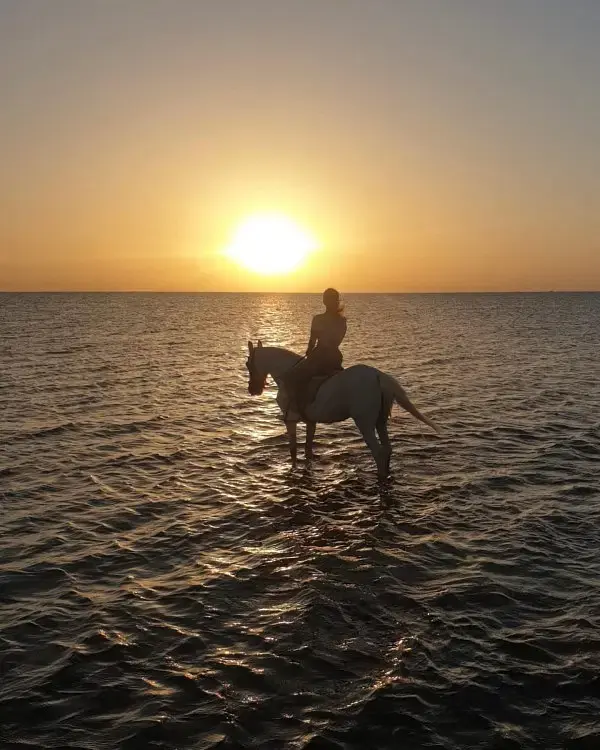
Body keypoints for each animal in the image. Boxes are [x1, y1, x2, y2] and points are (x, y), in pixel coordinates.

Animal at [246, 342, 438, 478]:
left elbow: (293, 450)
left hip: (364, 423)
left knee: (378, 452)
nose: (253, 390)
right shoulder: (310, 422)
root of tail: (378, 375)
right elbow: (308, 449)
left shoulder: (290, 421)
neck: (286, 373)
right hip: (380, 421)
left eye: (248, 364)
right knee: (387, 449)